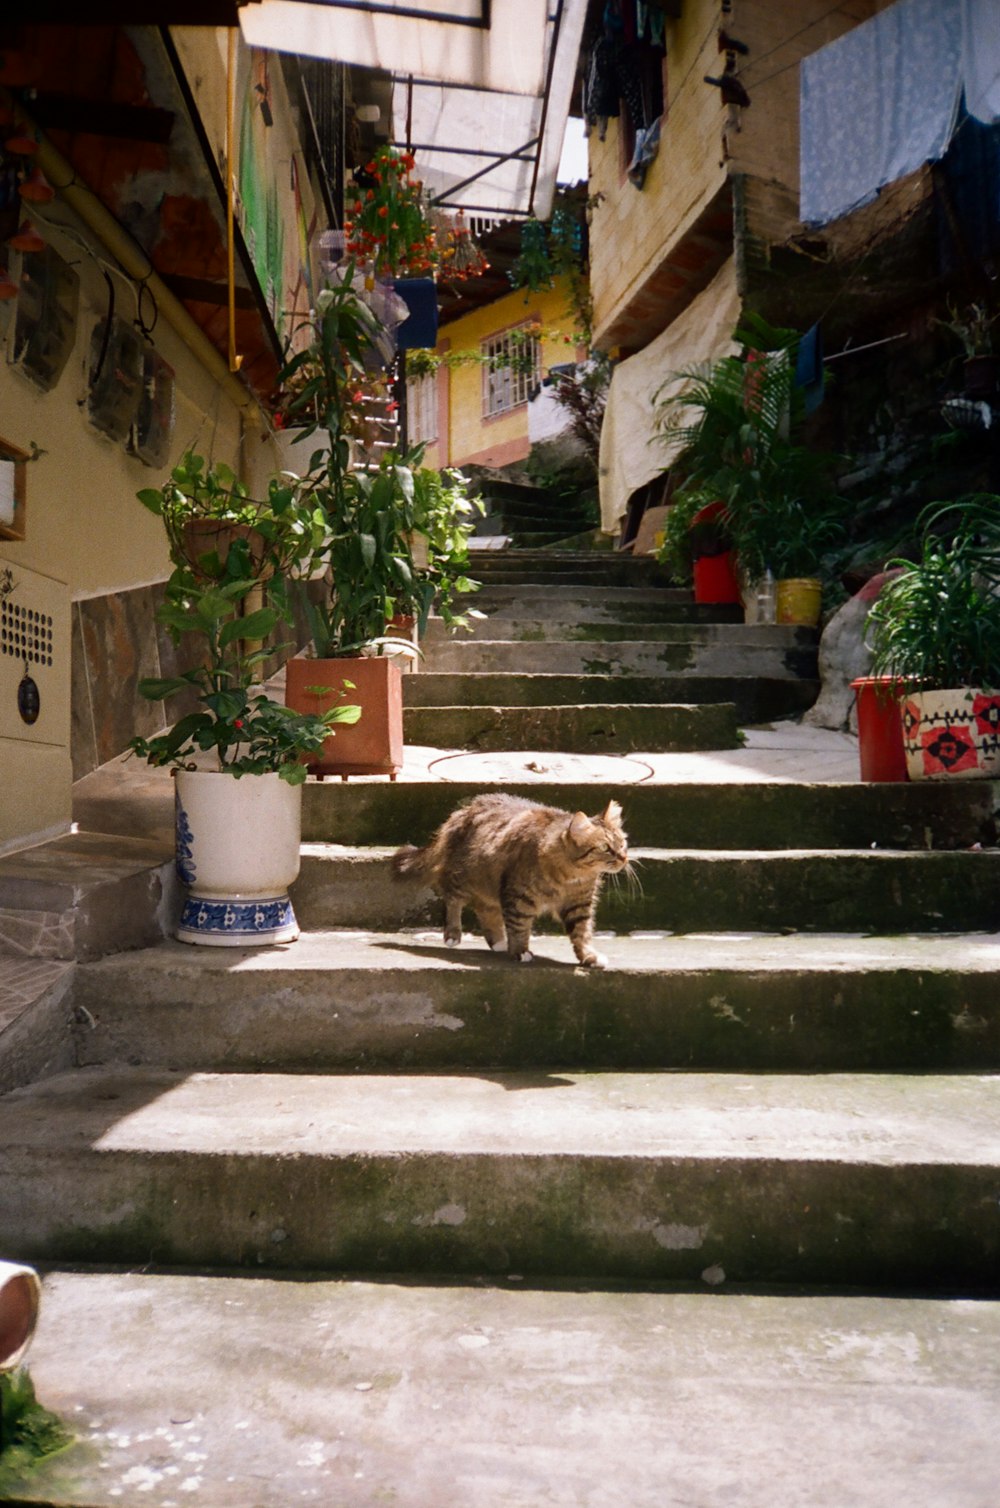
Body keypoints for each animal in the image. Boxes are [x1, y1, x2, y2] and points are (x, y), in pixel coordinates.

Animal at [389, 790, 627, 965]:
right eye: (605, 848)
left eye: (623, 843)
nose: (624, 858)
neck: (573, 874)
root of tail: (462, 811)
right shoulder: (519, 895)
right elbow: (519, 926)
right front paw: (520, 951)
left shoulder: (579, 903)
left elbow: (582, 932)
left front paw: (588, 956)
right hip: (464, 878)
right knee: (452, 901)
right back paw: (453, 935)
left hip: (489, 885)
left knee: (485, 910)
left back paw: (498, 942)